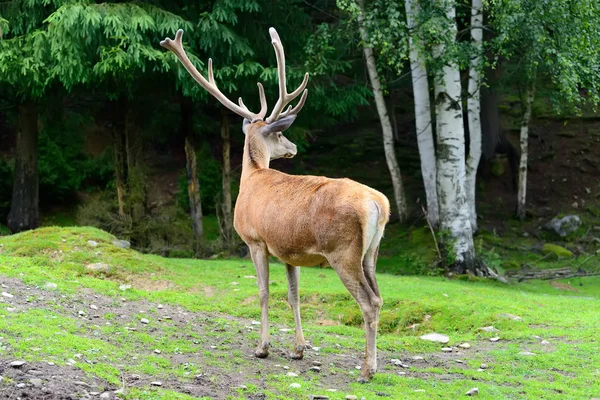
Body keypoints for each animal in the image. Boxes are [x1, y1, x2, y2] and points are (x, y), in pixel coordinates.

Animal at [162, 27, 392, 382]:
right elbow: (293, 295)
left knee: (369, 302)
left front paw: (263, 347)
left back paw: (367, 370)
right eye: (282, 136)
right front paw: (298, 349)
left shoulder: (255, 240)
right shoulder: (288, 251)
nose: (294, 147)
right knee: (379, 297)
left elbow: (263, 292)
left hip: (343, 251)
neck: (251, 177)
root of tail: (379, 204)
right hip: (372, 252)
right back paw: (373, 364)